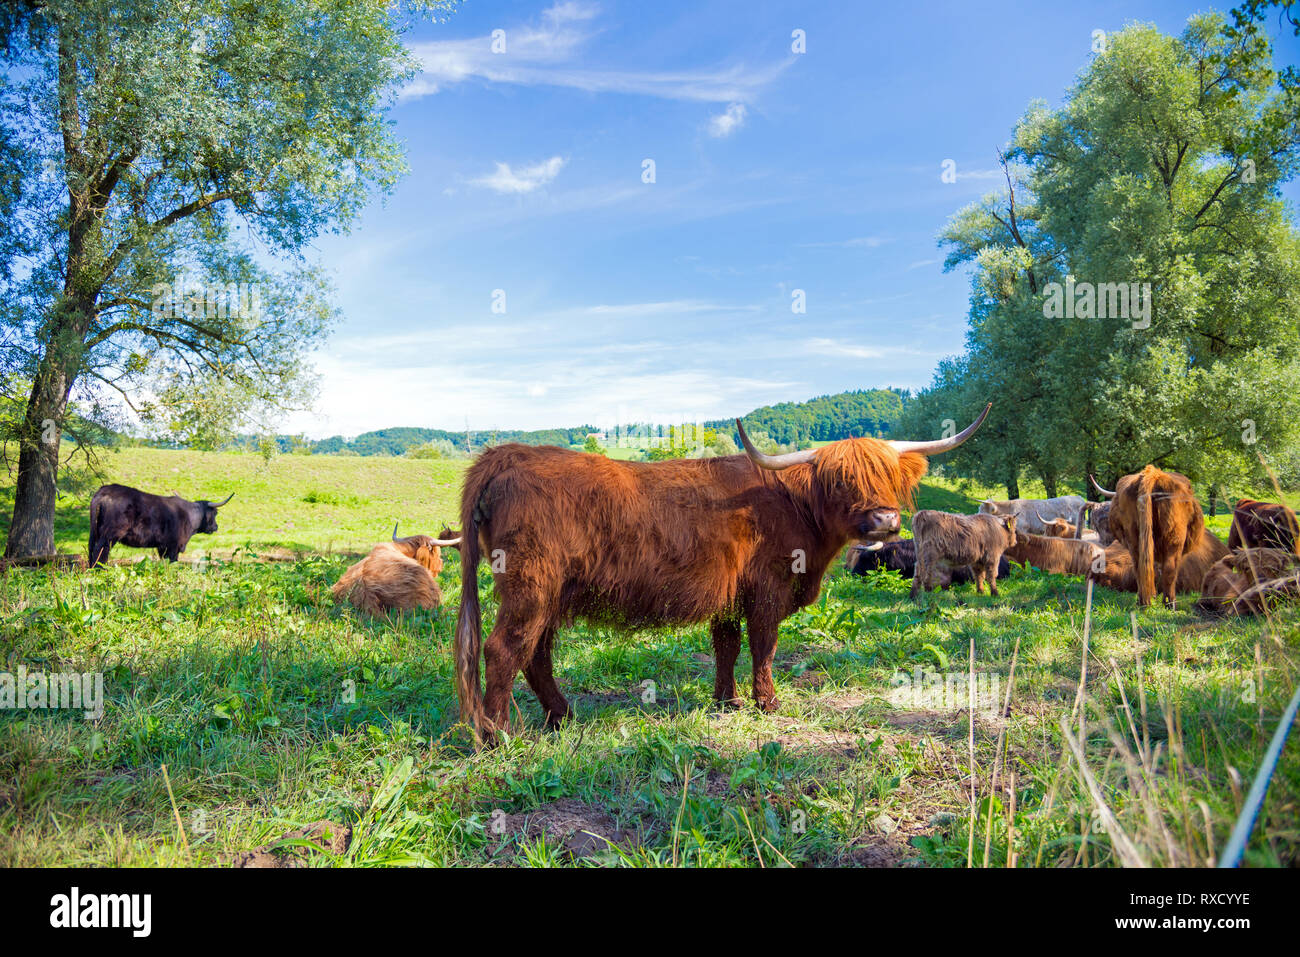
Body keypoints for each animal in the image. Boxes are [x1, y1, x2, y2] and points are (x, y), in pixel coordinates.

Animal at [88, 484, 233, 567]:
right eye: (215, 513)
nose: (216, 527)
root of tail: (105, 490)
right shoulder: (173, 546)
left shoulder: (162, 547)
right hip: (109, 536)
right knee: (101, 551)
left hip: (96, 532)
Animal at [453, 404, 992, 743]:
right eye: (842, 480)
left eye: (889, 475)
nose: (884, 521)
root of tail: (505, 454)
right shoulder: (768, 588)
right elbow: (764, 646)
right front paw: (767, 702)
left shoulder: (730, 594)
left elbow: (726, 645)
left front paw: (726, 700)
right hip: (530, 586)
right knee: (504, 650)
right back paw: (501, 735)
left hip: (550, 594)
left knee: (535, 654)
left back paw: (562, 716)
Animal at [1091, 467, 1207, 608]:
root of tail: (1152, 474)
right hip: (1174, 538)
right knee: (1170, 569)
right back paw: (1170, 604)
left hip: (1134, 539)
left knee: (1140, 567)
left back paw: (1143, 601)